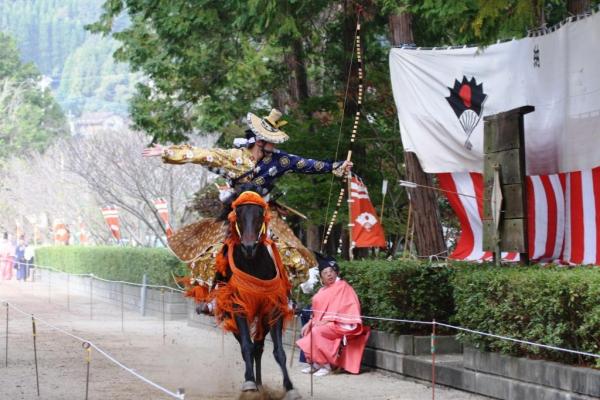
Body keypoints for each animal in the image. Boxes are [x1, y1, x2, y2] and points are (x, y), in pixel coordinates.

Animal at [216, 188, 300, 400]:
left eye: (260, 214)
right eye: (238, 214)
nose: (249, 247)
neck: (254, 265)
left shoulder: (273, 308)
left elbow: (279, 351)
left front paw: (289, 387)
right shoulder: (238, 307)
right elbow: (246, 345)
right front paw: (249, 383)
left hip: (263, 318)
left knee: (259, 346)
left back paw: (260, 384)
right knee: (246, 345)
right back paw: (253, 381)